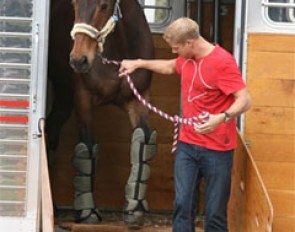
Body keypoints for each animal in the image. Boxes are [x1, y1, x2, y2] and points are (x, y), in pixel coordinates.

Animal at [46, 0, 157, 227]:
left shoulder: (138, 99)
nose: (78, 60)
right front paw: (87, 211)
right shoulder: (83, 100)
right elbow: (87, 147)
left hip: (64, 94)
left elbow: (143, 141)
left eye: (104, 6)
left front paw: (135, 209)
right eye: (74, 4)